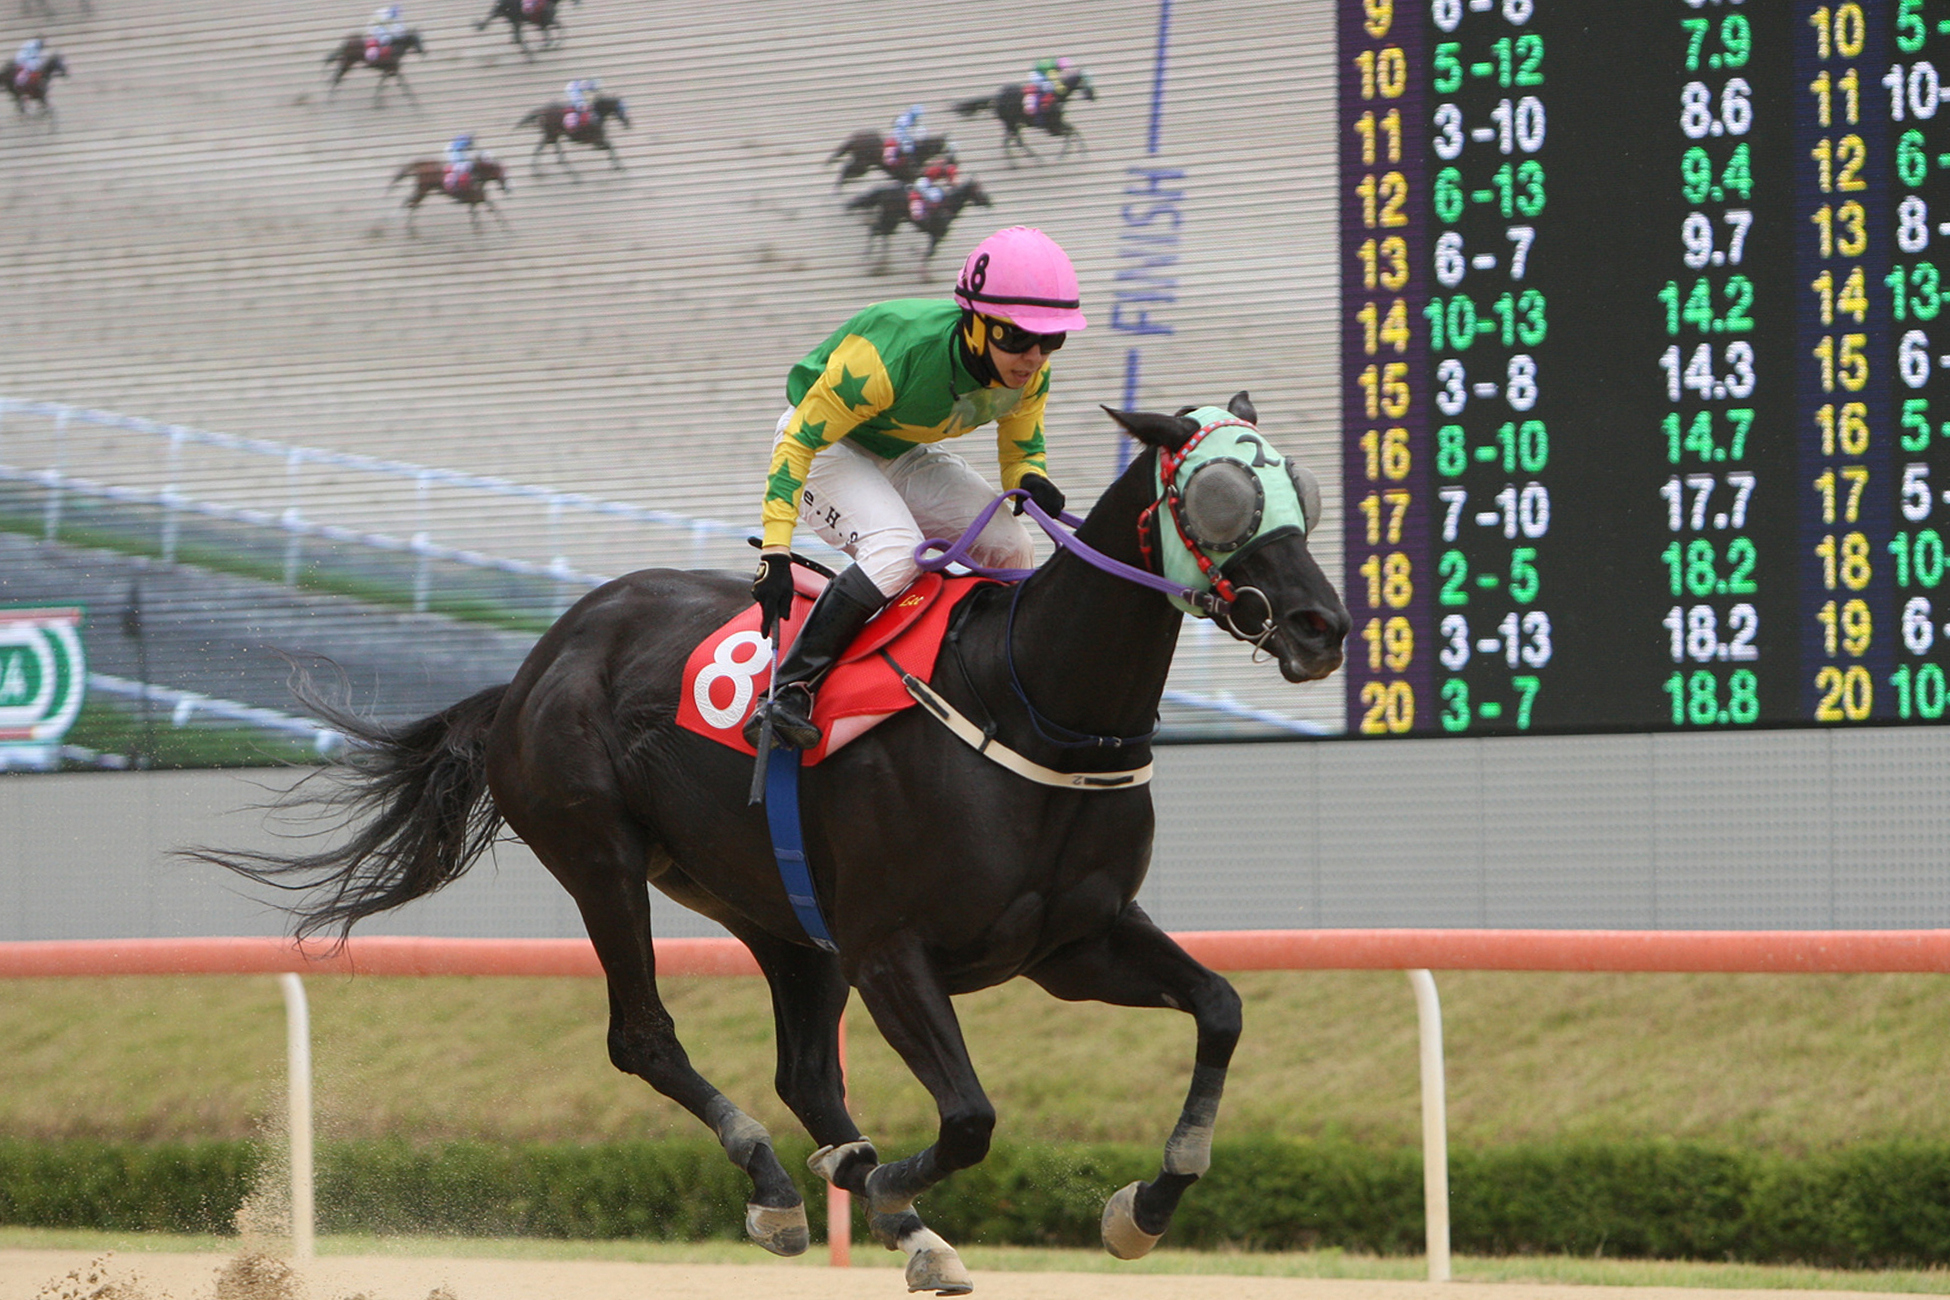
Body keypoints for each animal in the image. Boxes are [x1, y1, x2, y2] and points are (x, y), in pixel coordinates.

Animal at [197, 391, 1349, 1294]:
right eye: (1222, 497)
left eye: (1304, 486)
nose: (1320, 626)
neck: (1031, 703)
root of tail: (535, 665)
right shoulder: (893, 949)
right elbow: (971, 1118)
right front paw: (892, 1180)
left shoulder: (1074, 941)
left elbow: (1221, 1007)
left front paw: (1142, 1207)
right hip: (603, 857)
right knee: (646, 1037)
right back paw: (786, 1184)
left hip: (777, 914)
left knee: (804, 1074)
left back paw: (886, 1211)